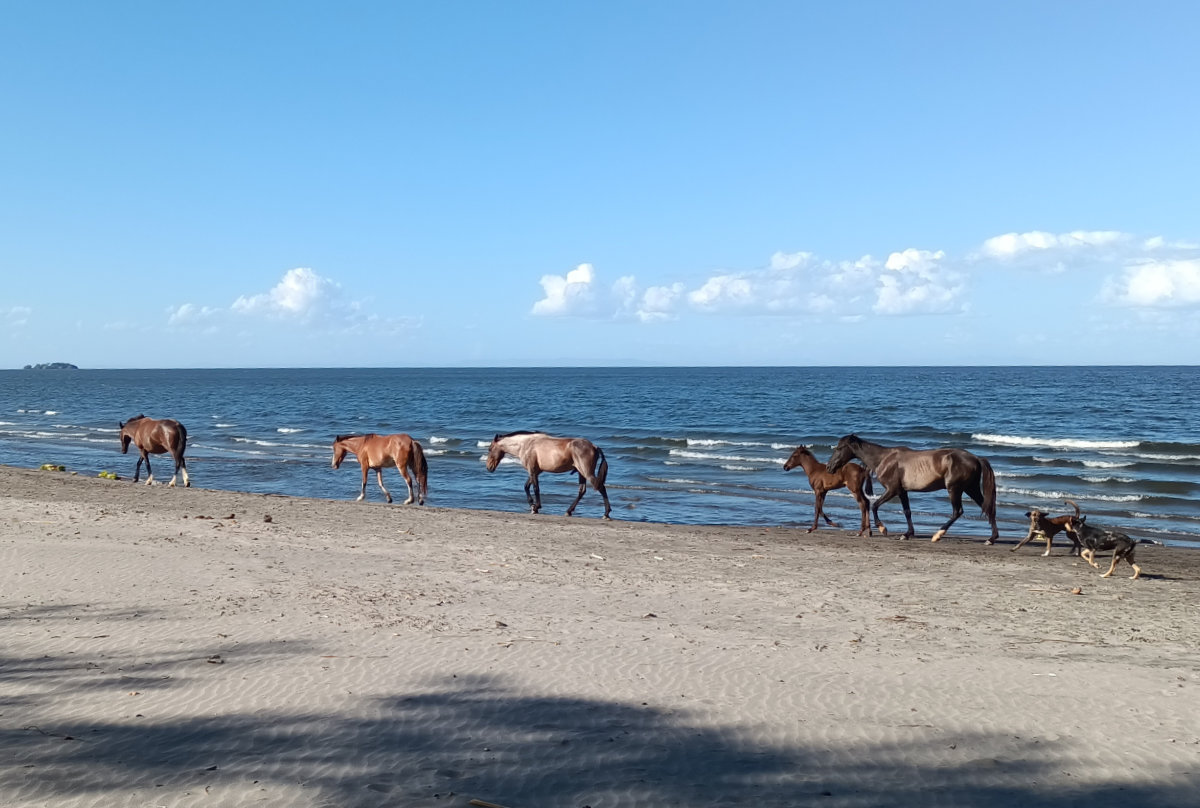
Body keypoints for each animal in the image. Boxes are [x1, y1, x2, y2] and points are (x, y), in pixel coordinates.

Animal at [825, 434, 1003, 542]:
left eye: (839, 448)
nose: (829, 467)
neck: (884, 459)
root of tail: (976, 458)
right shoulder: (902, 491)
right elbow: (907, 511)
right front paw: (907, 534)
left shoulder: (892, 490)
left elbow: (875, 505)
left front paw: (882, 528)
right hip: (970, 488)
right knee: (988, 508)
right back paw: (991, 539)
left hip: (955, 489)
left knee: (957, 512)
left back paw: (938, 535)